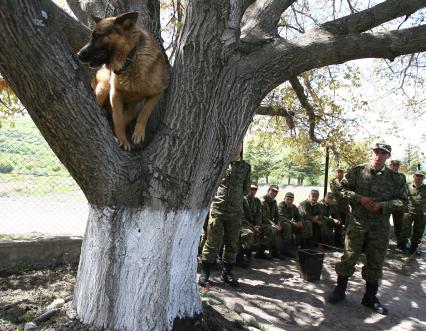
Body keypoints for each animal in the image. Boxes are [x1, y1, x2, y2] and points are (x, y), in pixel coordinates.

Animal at [78, 11, 166, 151]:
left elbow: (145, 112)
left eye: (97, 36)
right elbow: (118, 120)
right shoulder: (115, 94)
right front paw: (122, 140)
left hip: (130, 110)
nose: (78, 55)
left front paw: (138, 133)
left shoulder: (157, 93)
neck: (130, 59)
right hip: (104, 85)